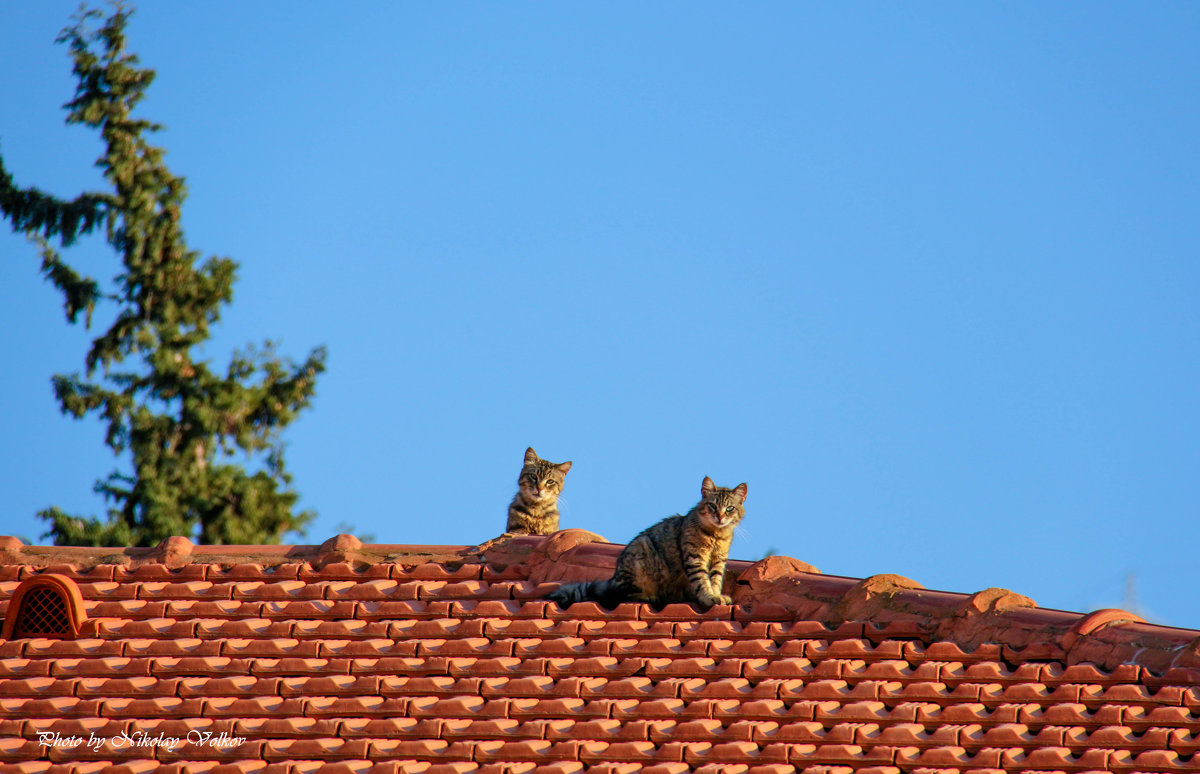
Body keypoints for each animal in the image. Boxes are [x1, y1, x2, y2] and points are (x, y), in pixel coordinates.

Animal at [547, 477, 748, 609]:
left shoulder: (718, 561)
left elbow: (715, 580)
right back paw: (651, 597)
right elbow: (702, 580)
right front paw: (709, 597)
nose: (720, 516)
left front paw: (716, 595)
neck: (716, 535)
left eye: (730, 508)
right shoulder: (694, 557)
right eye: (712, 506)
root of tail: (614, 578)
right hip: (642, 555)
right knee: (625, 594)